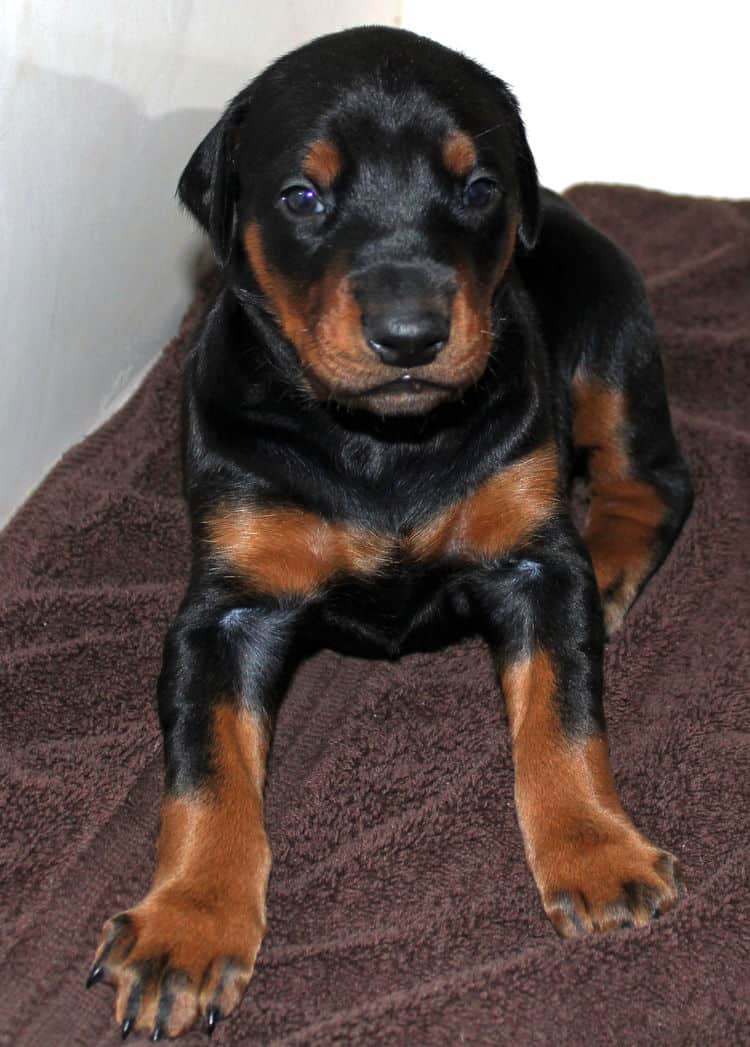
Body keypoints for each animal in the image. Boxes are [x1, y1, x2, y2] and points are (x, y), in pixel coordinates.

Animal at [86, 24, 691, 1038]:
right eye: (303, 196)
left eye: (478, 187)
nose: (410, 334)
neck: (381, 442)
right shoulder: (226, 610)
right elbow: (206, 769)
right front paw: (186, 929)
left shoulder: (532, 566)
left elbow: (563, 714)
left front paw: (594, 849)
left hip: (608, 336)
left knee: (651, 482)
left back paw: (605, 572)